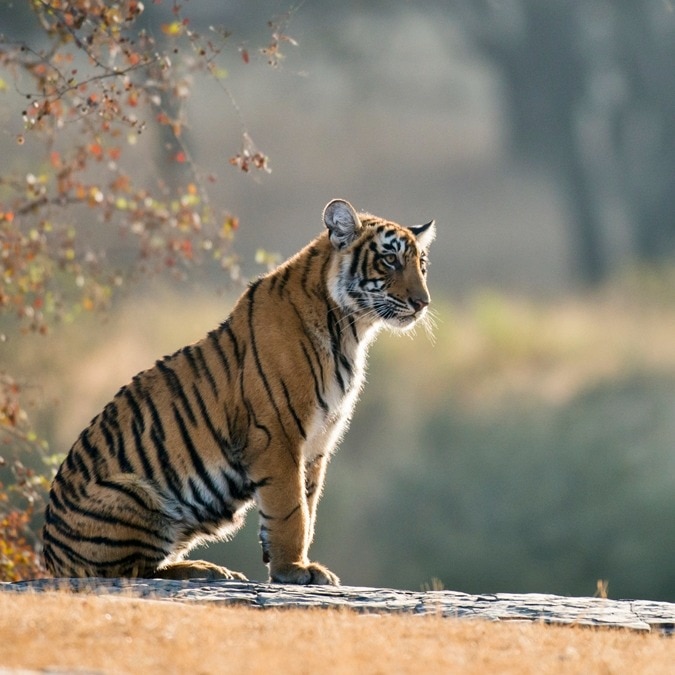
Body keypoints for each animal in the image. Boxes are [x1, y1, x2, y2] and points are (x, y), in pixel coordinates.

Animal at [42, 198, 436, 585]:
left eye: (421, 265)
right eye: (390, 260)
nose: (423, 303)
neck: (351, 329)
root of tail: (50, 558)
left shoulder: (319, 442)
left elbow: (307, 507)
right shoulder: (277, 434)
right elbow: (290, 510)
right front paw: (294, 570)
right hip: (134, 493)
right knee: (129, 572)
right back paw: (203, 570)